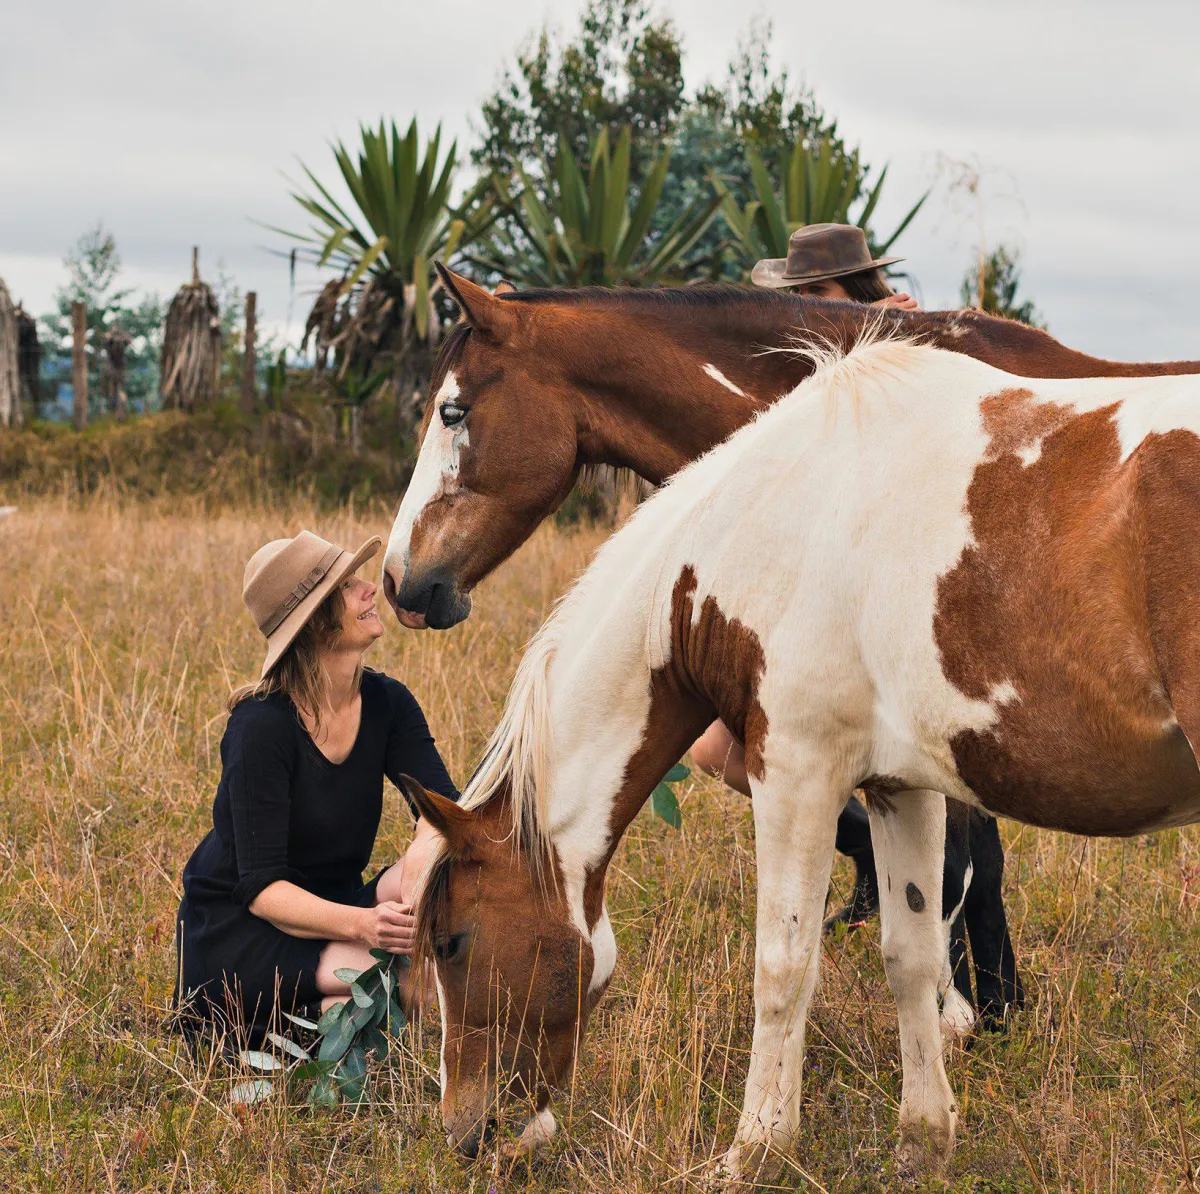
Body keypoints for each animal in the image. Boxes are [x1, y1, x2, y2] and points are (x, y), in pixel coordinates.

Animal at [400, 337, 1200, 1179]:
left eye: (451, 942)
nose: (466, 1133)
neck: (755, 530)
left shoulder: (796, 774)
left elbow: (782, 967)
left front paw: (754, 1150)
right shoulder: (900, 788)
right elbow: (910, 956)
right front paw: (923, 1141)